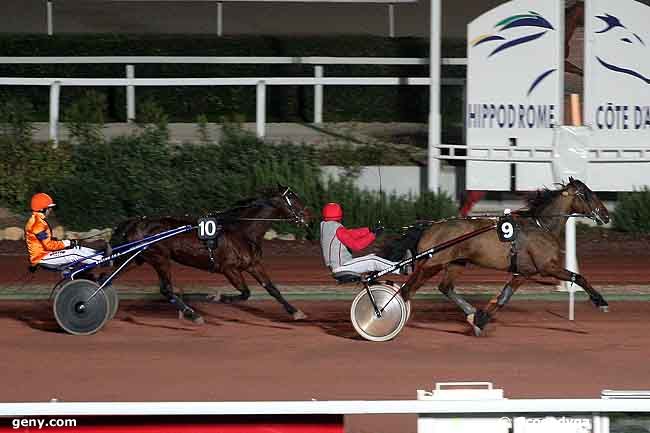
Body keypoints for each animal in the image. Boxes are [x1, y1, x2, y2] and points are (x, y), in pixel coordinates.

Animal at [112, 186, 312, 324]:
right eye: (292, 198)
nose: (308, 217)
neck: (242, 231)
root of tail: (137, 222)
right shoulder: (228, 268)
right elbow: (245, 293)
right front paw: (215, 297)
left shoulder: (253, 265)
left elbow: (272, 289)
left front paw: (296, 312)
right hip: (159, 258)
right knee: (166, 289)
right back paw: (193, 315)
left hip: (135, 259)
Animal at [400, 177, 608, 336]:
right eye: (588, 194)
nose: (606, 216)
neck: (541, 226)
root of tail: (430, 227)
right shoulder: (547, 267)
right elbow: (578, 277)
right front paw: (601, 302)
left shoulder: (523, 273)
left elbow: (503, 298)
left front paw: (480, 320)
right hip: (432, 264)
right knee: (407, 290)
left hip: (456, 263)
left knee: (444, 287)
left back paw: (470, 312)